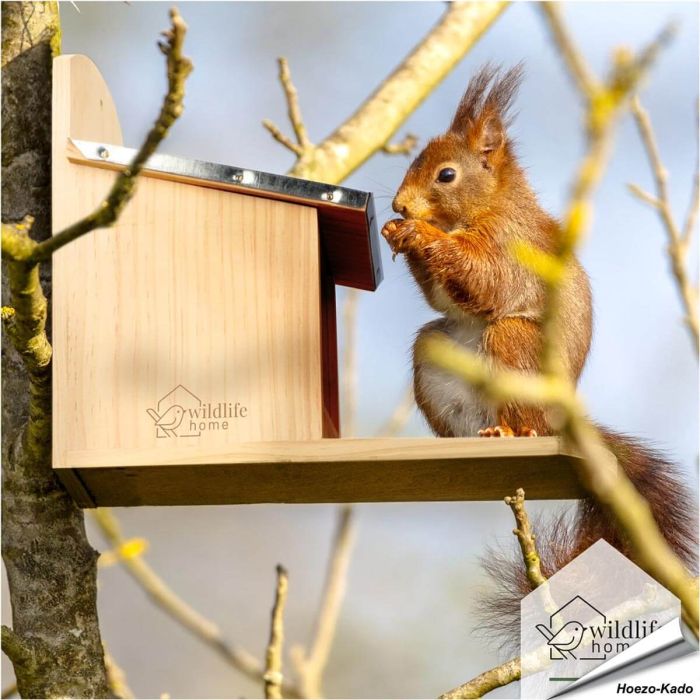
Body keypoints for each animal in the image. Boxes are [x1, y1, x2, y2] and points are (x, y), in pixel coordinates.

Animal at [381, 64, 697, 636]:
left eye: (446, 175)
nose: (399, 206)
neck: (490, 205)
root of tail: (559, 423)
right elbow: (444, 294)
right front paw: (397, 231)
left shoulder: (510, 247)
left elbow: (484, 278)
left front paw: (419, 234)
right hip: (434, 352)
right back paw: (472, 439)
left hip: (516, 345)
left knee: (516, 397)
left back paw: (512, 432)